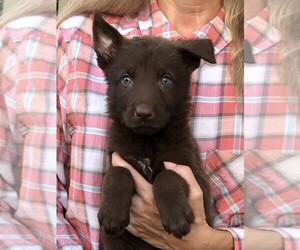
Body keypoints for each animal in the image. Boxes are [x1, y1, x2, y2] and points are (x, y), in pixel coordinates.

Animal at [93, 12, 216, 249]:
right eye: (126, 79)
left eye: (166, 80)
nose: (144, 113)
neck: (147, 142)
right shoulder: (117, 157)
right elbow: (118, 172)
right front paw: (112, 212)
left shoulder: (193, 174)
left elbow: (167, 175)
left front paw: (176, 215)